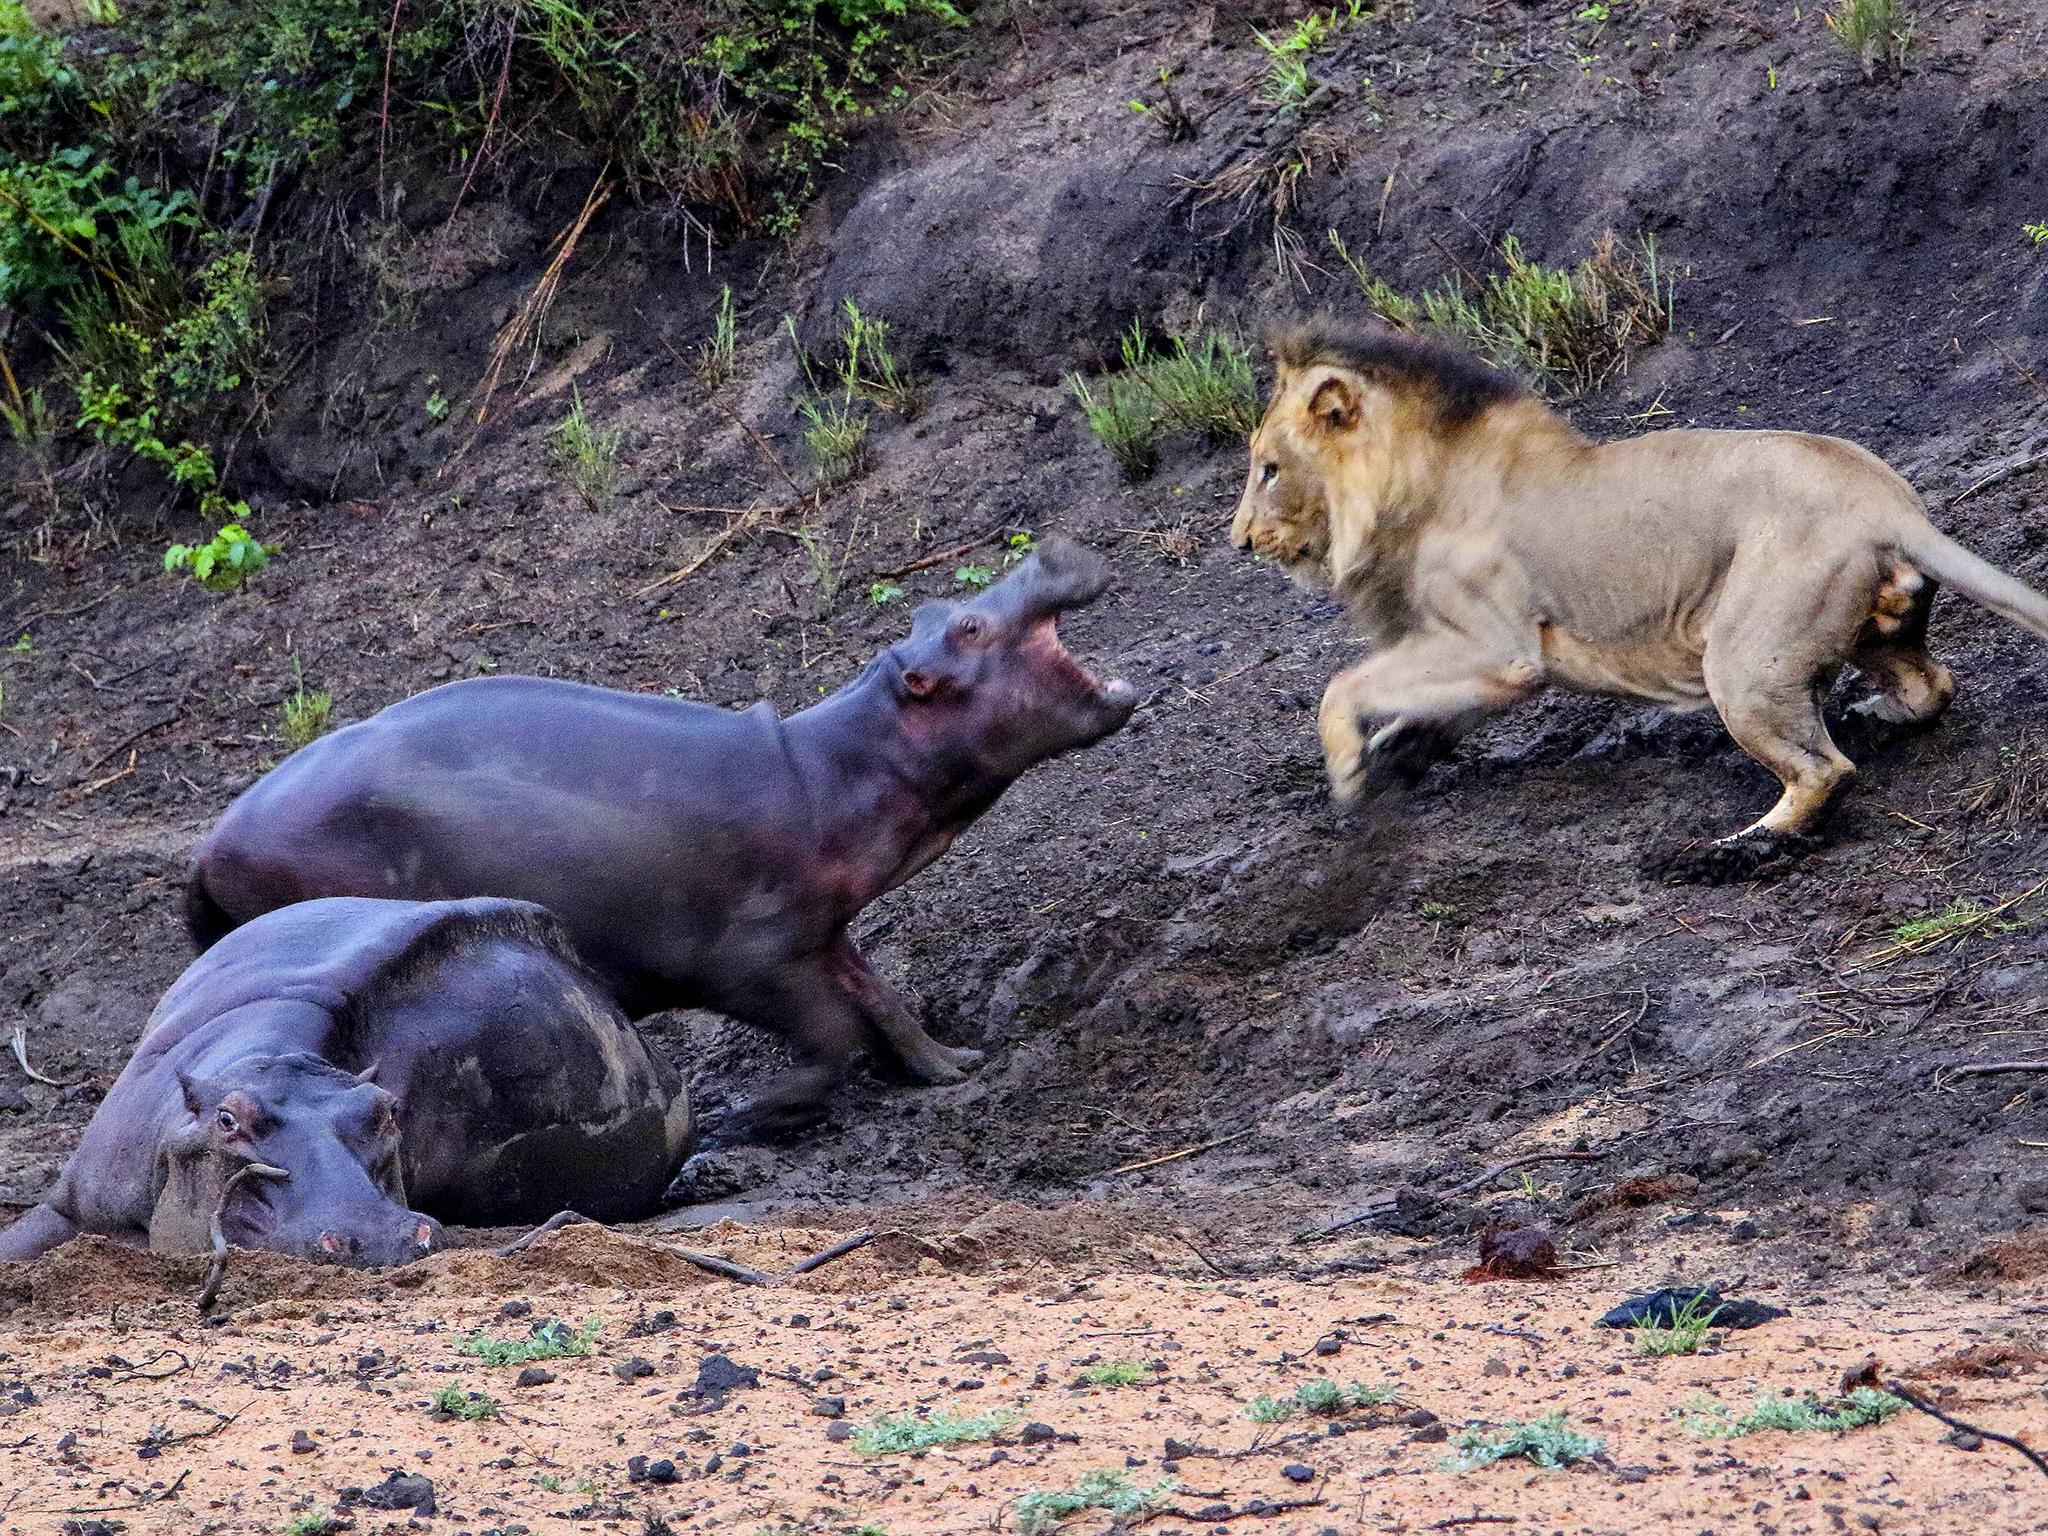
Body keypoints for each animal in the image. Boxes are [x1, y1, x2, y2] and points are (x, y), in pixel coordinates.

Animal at [184, 536, 1138, 1130]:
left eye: (946, 606)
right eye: (969, 626)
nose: (1048, 551)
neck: (836, 765)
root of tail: (207, 845)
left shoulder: (821, 931)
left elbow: (879, 998)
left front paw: (953, 1063)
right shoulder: (749, 955)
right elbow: (834, 1036)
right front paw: (752, 1114)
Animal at [1228, 321, 2048, 856]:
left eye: (1268, 469)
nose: (1240, 541)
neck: (1411, 490)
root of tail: (1889, 503)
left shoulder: (1500, 648)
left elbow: (1342, 685)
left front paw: (1347, 776)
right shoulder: (1473, 659)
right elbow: (1418, 709)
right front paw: (1393, 755)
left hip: (1743, 659)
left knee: (1825, 772)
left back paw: (1730, 851)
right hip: (1871, 626)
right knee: (1930, 686)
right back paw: (1873, 715)